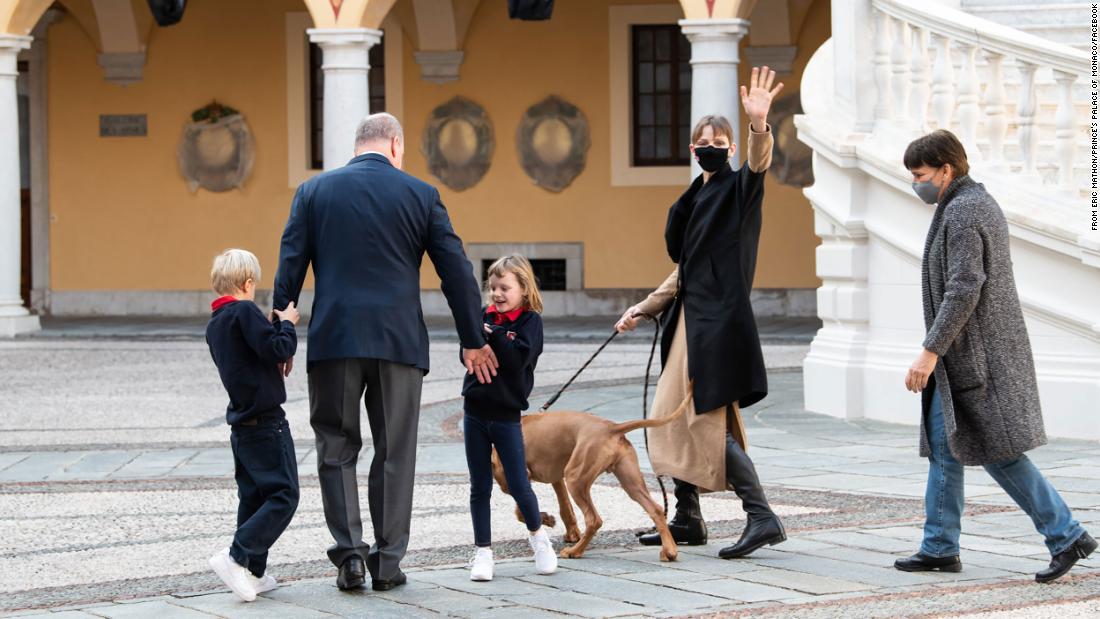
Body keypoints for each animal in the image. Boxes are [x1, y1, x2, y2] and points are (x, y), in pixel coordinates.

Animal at [492, 389, 690, 562]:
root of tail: (612, 427)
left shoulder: (515, 479)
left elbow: (520, 510)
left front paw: (544, 518)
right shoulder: (556, 478)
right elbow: (564, 508)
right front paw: (565, 529)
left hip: (576, 479)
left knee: (594, 520)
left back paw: (574, 552)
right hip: (629, 481)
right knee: (656, 509)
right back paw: (670, 551)